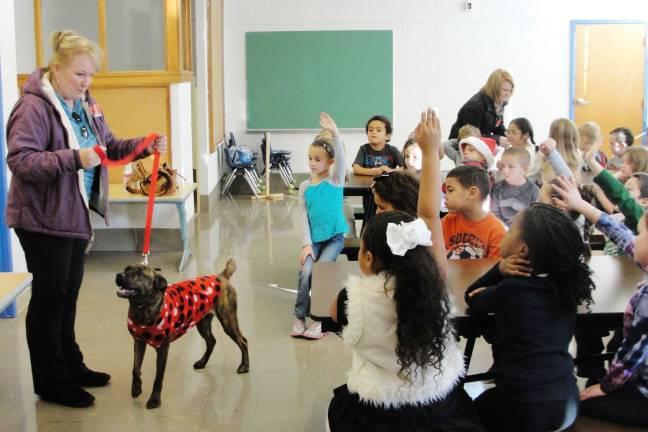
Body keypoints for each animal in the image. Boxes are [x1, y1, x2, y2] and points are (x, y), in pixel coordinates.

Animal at [115, 258, 249, 410]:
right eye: (126, 269)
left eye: (140, 274)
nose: (119, 275)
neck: (142, 309)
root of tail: (221, 277)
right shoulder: (138, 342)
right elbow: (136, 368)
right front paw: (136, 388)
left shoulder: (163, 349)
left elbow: (158, 378)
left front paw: (155, 399)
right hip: (202, 323)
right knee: (211, 341)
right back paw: (202, 362)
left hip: (228, 321)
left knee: (243, 341)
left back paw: (244, 366)